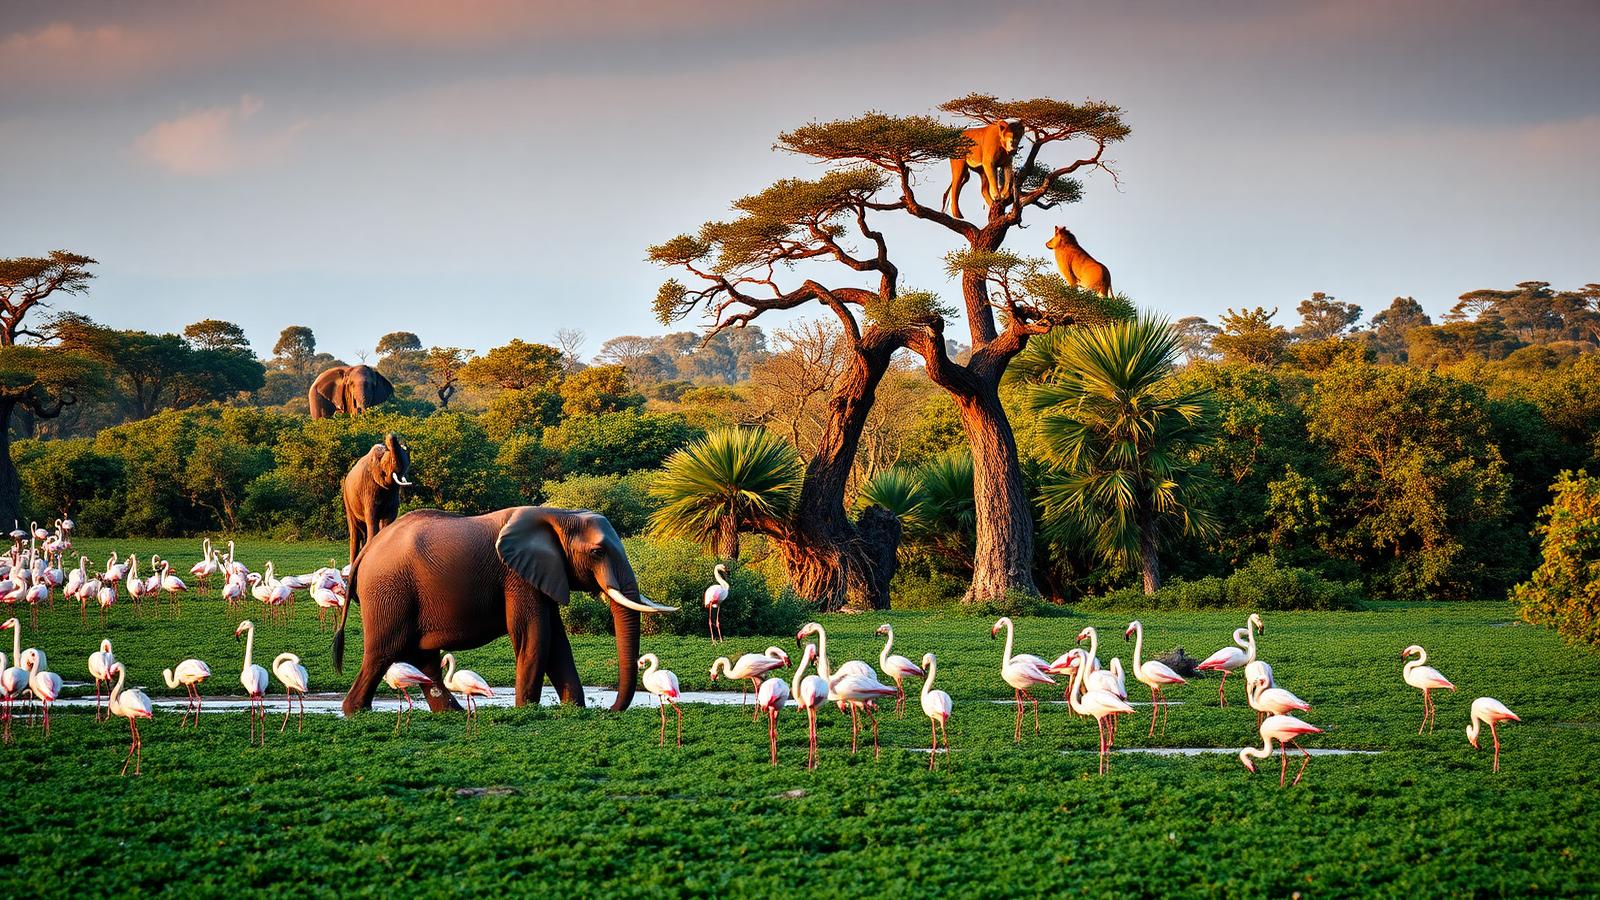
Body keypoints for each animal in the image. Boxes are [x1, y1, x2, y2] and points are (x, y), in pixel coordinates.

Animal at [333, 506, 676, 716]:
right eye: (597, 552)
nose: (608, 710)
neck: (559, 515)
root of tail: (365, 552)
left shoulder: (544, 574)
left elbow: (557, 644)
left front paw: (573, 709)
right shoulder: (517, 577)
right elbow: (534, 637)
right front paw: (527, 711)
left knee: (423, 659)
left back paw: (452, 714)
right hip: (388, 592)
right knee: (383, 652)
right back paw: (355, 711)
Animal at [342, 433, 412, 566]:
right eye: (390, 461)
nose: (391, 434)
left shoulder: (392, 492)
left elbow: (389, 516)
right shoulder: (368, 488)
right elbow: (372, 516)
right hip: (347, 498)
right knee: (355, 531)